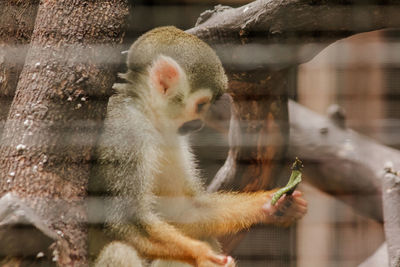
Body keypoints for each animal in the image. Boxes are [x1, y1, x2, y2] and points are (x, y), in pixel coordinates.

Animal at [95, 25, 308, 267]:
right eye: (201, 105)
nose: (199, 124)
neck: (148, 114)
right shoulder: (127, 132)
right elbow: (126, 220)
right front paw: (202, 254)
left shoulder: (171, 136)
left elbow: (181, 211)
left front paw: (271, 206)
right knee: (119, 250)